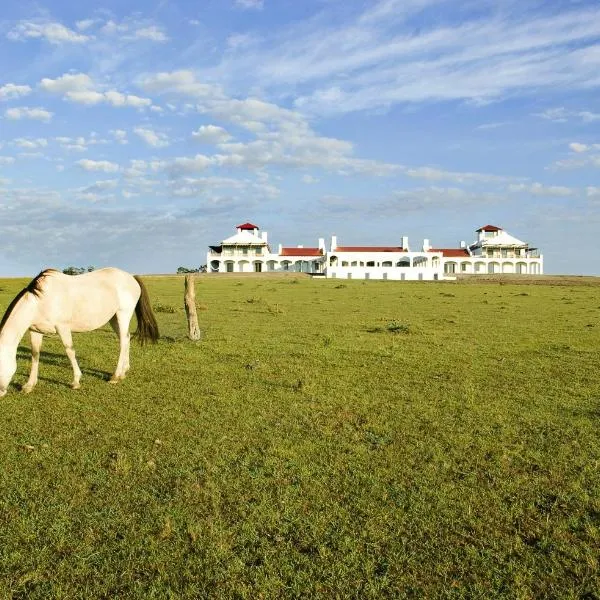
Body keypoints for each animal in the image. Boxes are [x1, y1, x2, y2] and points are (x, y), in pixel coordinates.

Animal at [0, 266, 159, 396]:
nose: (1, 393)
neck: (40, 302)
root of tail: (131, 277)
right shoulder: (35, 331)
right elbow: (35, 354)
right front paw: (29, 385)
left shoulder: (63, 327)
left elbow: (69, 350)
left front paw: (76, 381)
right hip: (114, 319)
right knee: (125, 339)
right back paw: (124, 371)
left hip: (123, 315)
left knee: (123, 342)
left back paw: (115, 376)